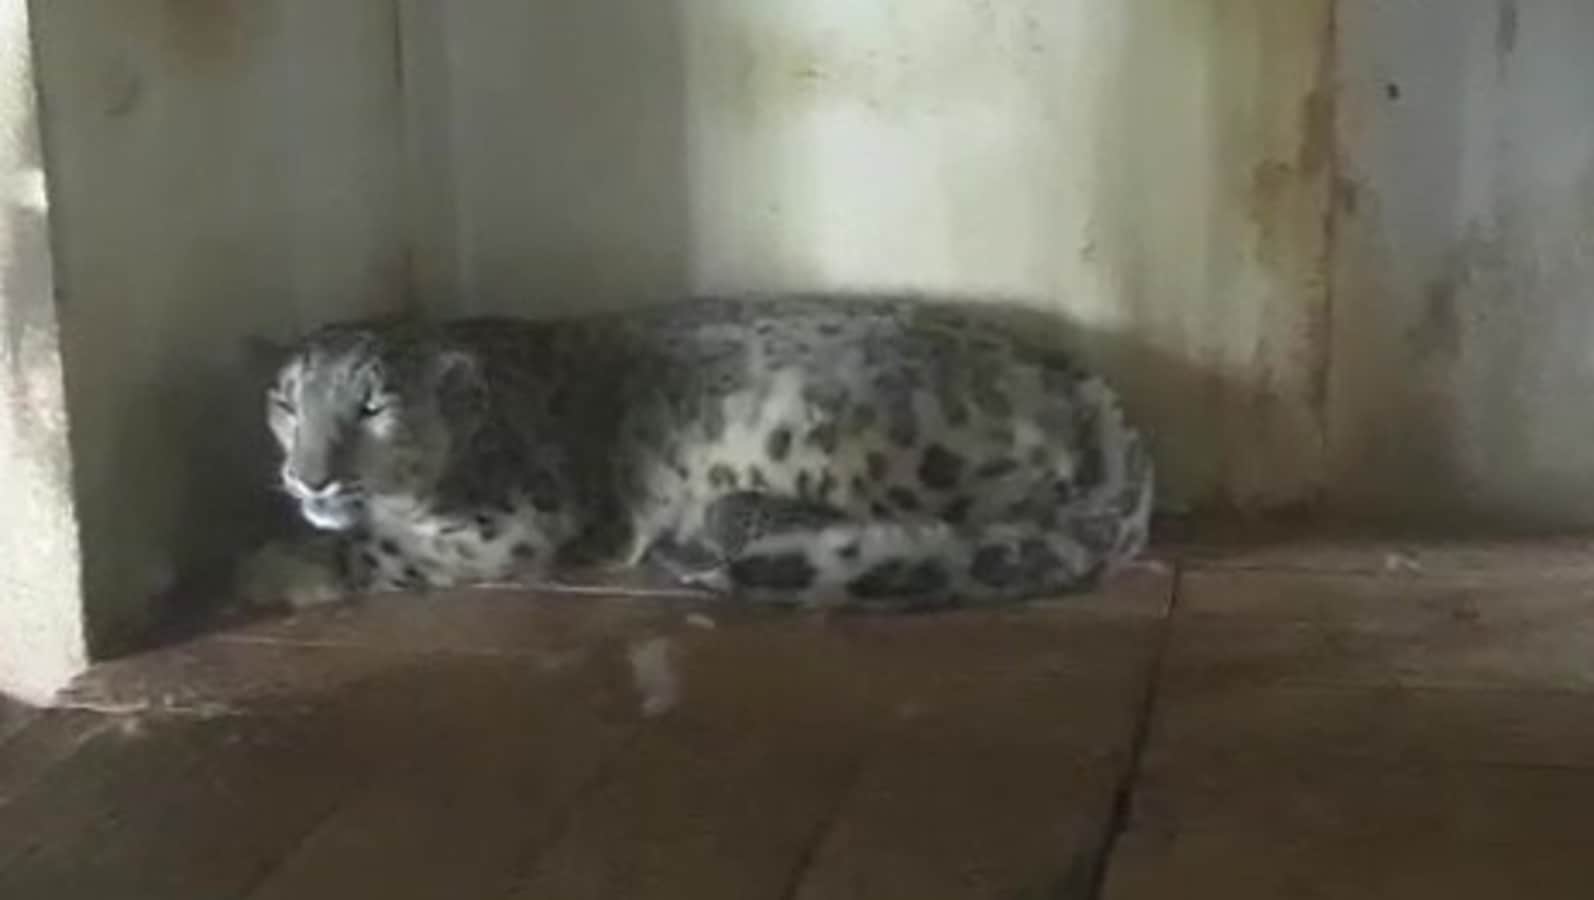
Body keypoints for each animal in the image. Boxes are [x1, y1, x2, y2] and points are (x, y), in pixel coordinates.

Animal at [244, 294, 1153, 611]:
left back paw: (719, 529)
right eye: (286, 400)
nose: (306, 476)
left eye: (374, 405)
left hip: (850, 436)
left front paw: (264, 572)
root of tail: (1088, 386)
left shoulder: (517, 521)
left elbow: (379, 549)